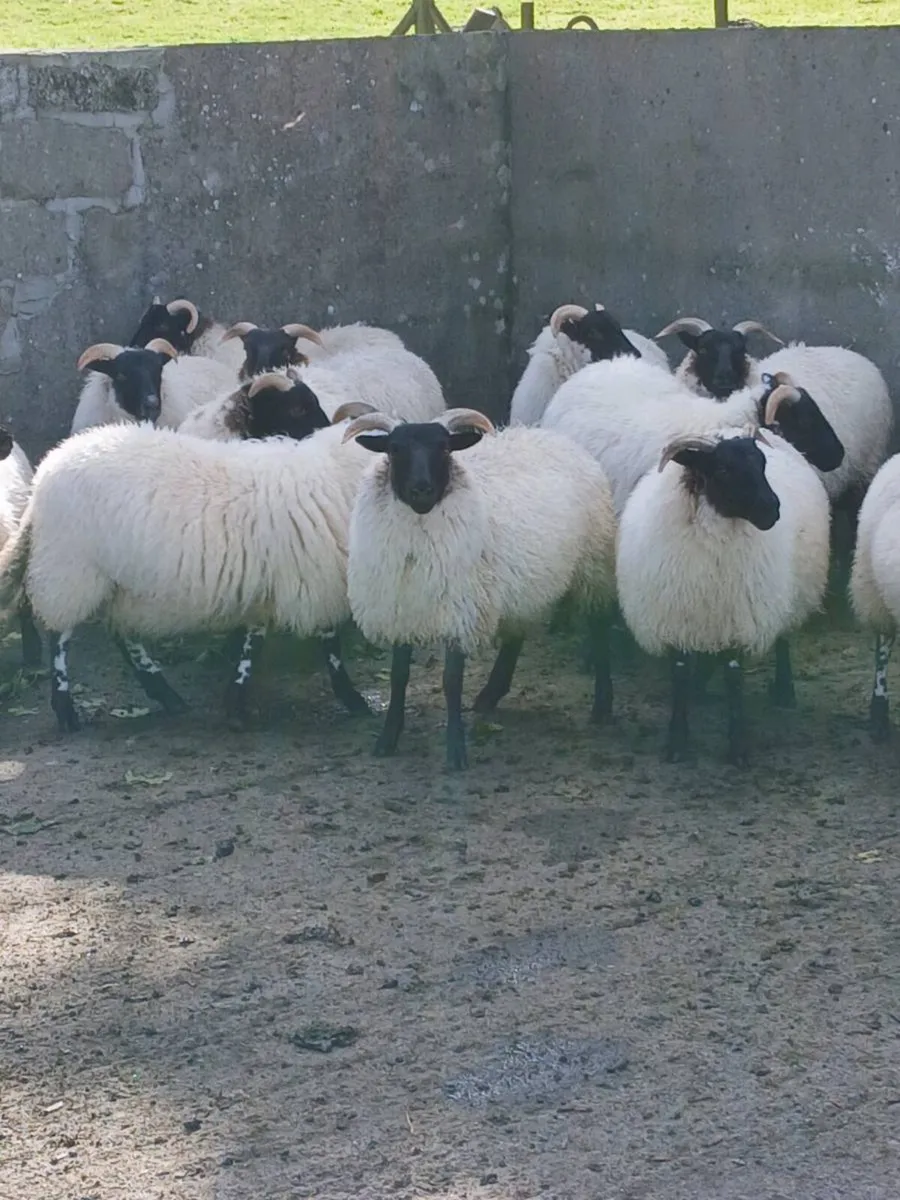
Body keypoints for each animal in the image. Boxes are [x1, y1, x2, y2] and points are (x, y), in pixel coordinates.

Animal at [0, 394, 379, 733]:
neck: (336, 474)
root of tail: (46, 472)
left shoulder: (268, 581)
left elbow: (252, 643)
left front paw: (236, 702)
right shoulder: (314, 576)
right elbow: (330, 644)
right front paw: (352, 698)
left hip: (116, 580)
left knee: (121, 634)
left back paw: (164, 693)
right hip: (71, 567)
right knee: (59, 636)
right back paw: (66, 711)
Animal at [341, 407, 618, 770]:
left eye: (445, 448)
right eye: (394, 449)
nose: (421, 490)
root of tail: (554, 437)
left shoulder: (461, 610)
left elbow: (451, 682)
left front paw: (456, 751)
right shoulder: (402, 606)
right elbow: (399, 676)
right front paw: (388, 738)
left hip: (593, 566)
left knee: (600, 630)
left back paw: (602, 706)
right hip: (521, 582)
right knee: (515, 636)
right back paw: (491, 694)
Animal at [616, 426, 831, 764]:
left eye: (762, 463)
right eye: (723, 469)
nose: (772, 509)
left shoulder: (738, 618)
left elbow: (734, 679)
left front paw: (737, 746)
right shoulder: (679, 618)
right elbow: (680, 675)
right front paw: (677, 740)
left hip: (787, 594)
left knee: (783, 637)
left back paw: (784, 689)